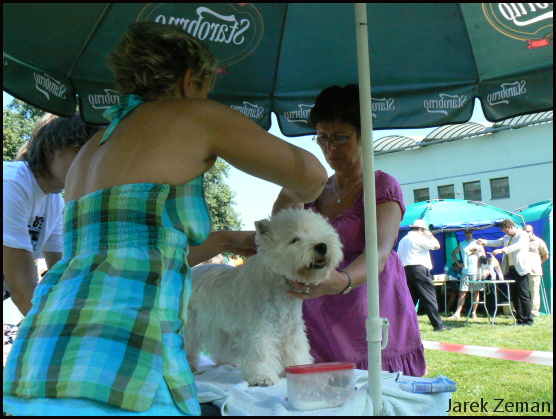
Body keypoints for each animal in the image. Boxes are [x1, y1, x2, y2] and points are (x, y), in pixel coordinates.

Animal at [187, 209, 344, 388]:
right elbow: (261, 352)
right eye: (294, 239)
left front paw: (301, 369)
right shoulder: (260, 328)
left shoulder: (292, 328)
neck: (280, 287)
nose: (322, 246)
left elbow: (296, 350)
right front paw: (263, 377)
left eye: (322, 231)